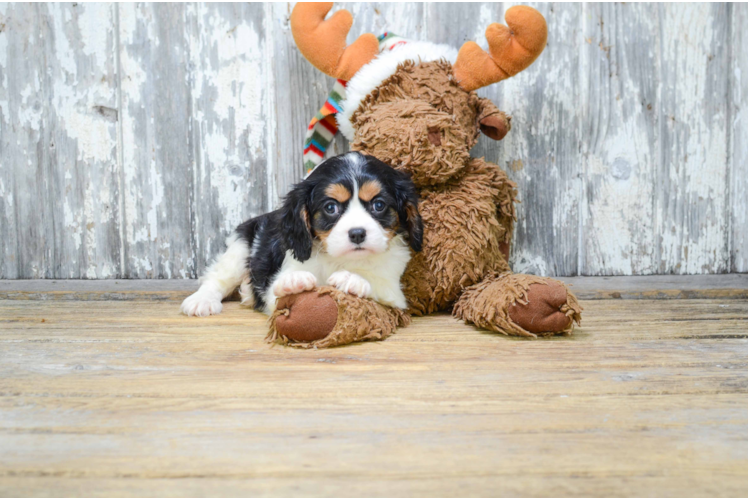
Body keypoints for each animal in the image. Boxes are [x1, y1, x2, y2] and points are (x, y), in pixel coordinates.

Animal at [181, 152, 424, 316]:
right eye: (330, 207)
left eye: (379, 205)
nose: (357, 234)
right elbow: (278, 290)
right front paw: (294, 281)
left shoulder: (395, 293)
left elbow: (378, 286)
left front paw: (353, 279)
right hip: (240, 249)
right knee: (216, 279)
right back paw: (202, 300)